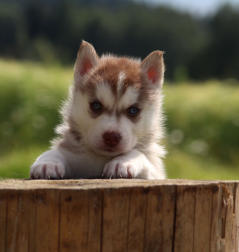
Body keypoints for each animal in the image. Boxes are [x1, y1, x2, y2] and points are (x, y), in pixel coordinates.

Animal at [29, 41, 166, 179]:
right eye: (96, 105)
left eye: (133, 110)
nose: (111, 137)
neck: (101, 157)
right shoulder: (74, 155)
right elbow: (55, 151)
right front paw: (47, 162)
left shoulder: (156, 173)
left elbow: (138, 154)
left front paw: (123, 161)